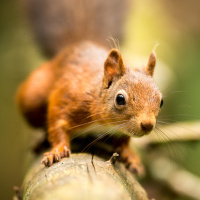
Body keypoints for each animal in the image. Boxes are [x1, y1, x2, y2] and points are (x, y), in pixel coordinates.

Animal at [17, 0, 162, 173]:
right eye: (120, 99)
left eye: (161, 101)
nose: (147, 125)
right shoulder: (70, 97)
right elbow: (57, 123)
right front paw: (57, 150)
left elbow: (124, 139)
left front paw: (130, 155)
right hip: (33, 96)